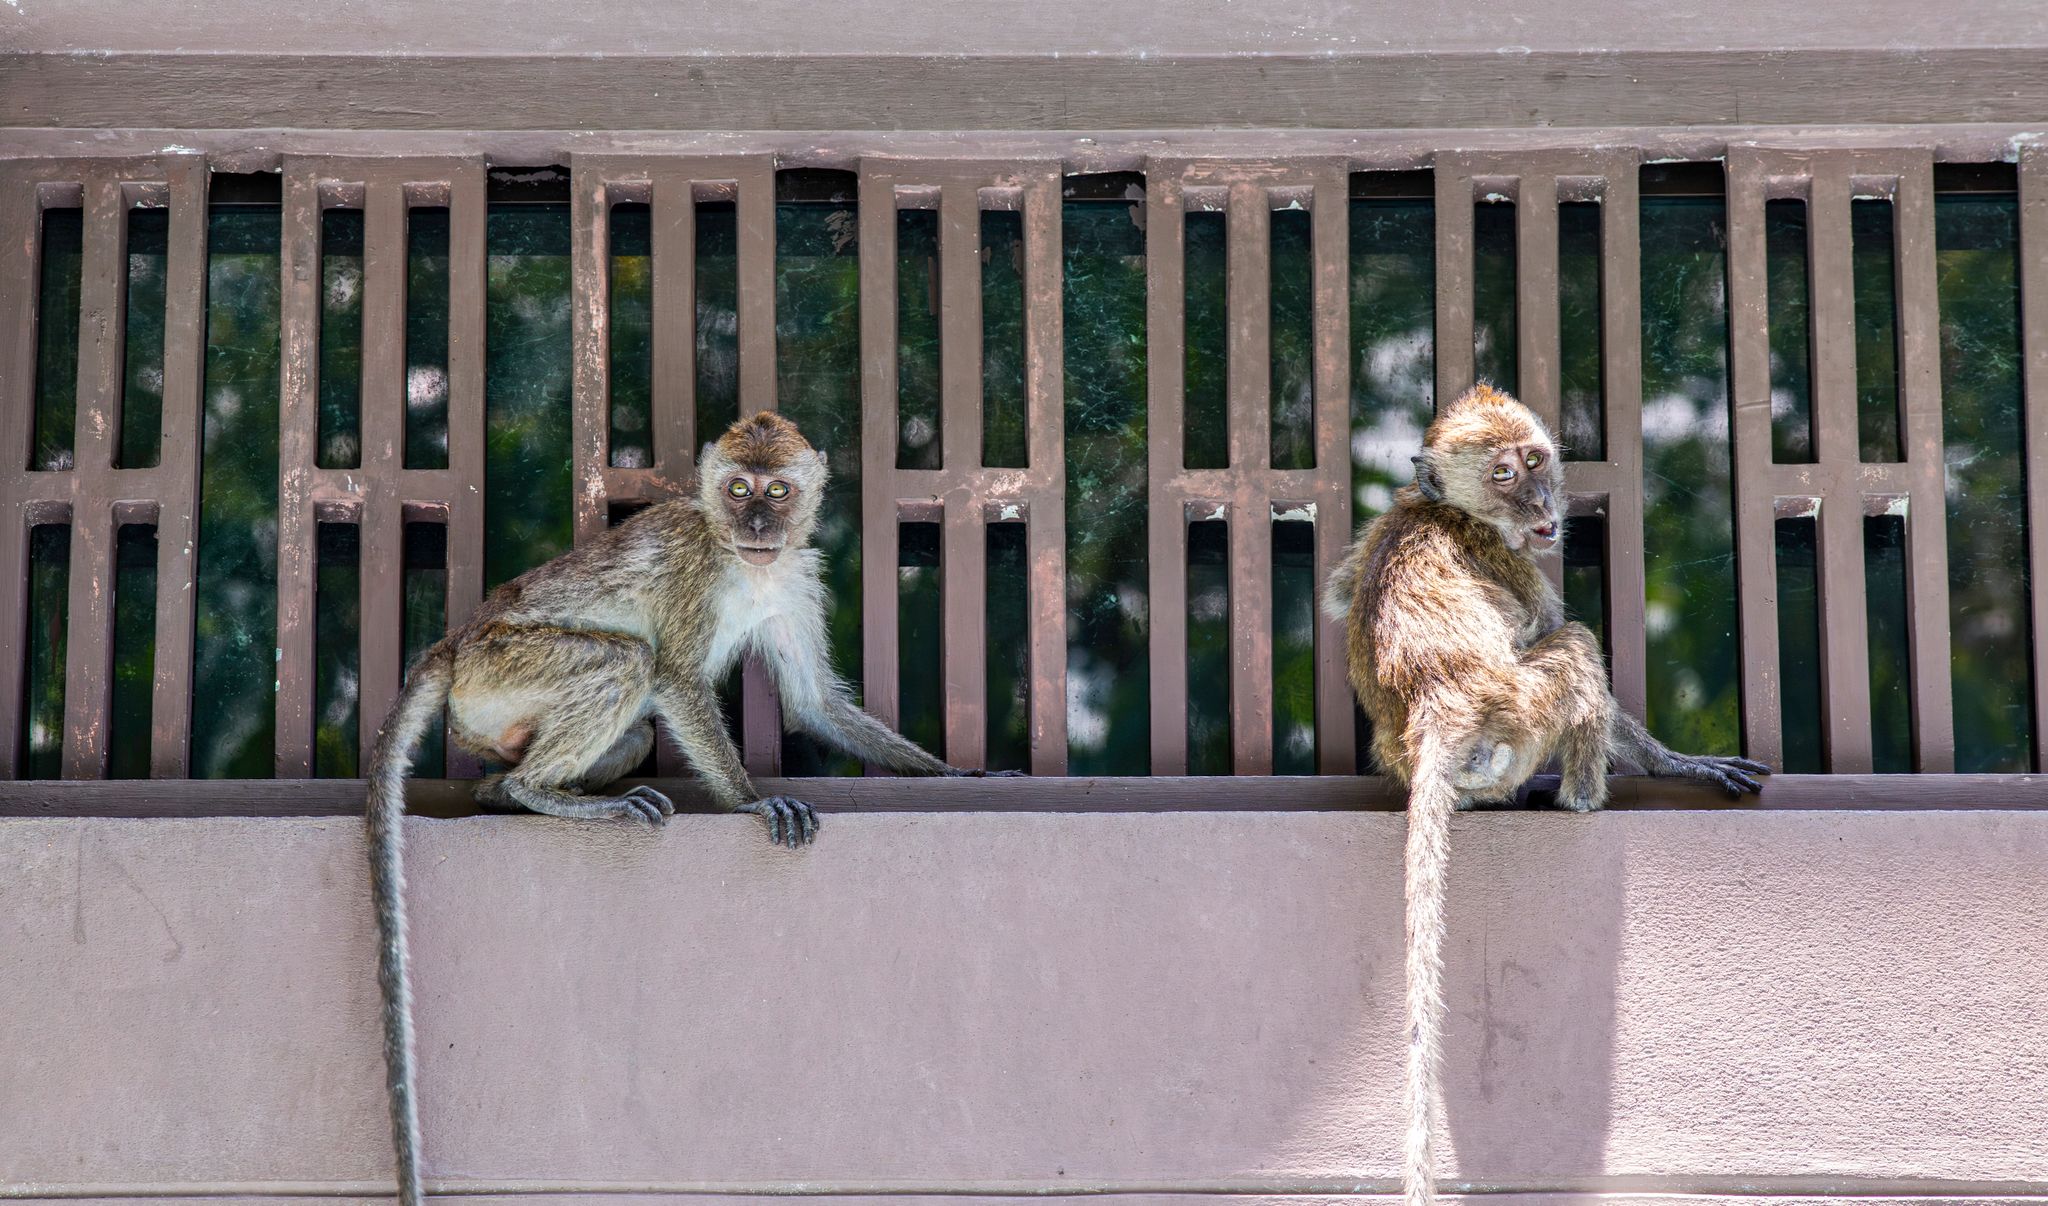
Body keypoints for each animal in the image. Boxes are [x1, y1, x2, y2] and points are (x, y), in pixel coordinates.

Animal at [365, 411, 1011, 1206]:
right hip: (501, 672)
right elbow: (674, 675)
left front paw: (959, 771)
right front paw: (753, 802)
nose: (758, 521)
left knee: (632, 727)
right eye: (737, 489)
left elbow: (813, 703)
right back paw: (536, 793)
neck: (746, 561)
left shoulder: (794, 577)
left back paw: (507, 794)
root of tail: (455, 644)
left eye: (775, 490)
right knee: (627, 664)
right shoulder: (695, 571)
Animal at [1320, 384, 1767, 1206]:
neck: (1452, 513)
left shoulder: (1386, 520)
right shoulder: (1509, 562)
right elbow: (1557, 633)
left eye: (1533, 461)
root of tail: (1437, 713)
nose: (1539, 501)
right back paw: (1582, 799)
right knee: (1577, 647)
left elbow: (1339, 593)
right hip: (1519, 713)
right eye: (1501, 473)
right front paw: (1677, 763)